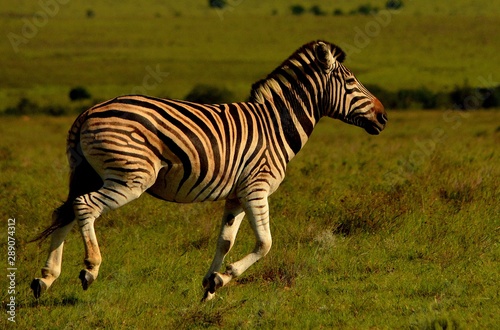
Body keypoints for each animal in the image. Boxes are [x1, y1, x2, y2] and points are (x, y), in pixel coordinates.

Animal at [31, 40, 386, 300]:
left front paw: (210, 286)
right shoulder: (256, 188)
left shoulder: (237, 195)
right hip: (131, 175)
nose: (383, 117)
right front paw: (224, 277)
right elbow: (265, 243)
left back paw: (45, 278)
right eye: (351, 82)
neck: (276, 126)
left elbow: (224, 241)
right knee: (85, 206)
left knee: (66, 212)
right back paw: (90, 268)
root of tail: (88, 112)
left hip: (88, 172)